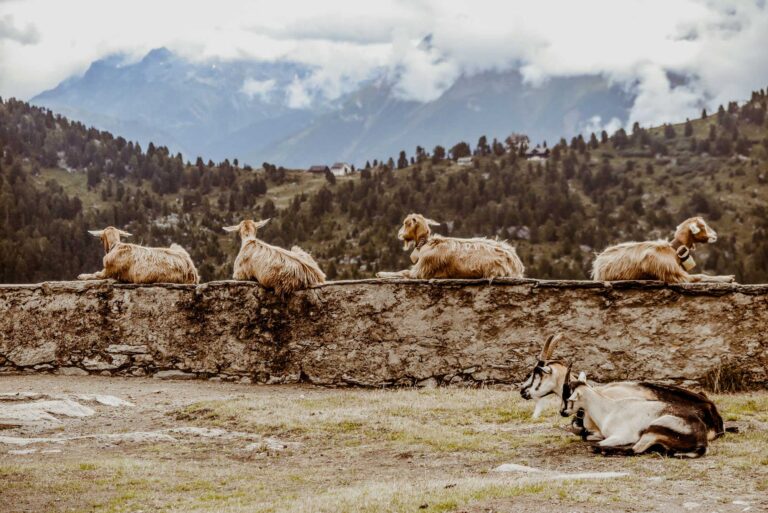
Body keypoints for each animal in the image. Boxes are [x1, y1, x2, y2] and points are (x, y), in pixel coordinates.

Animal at [376, 211, 524, 278]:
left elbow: (404, 272)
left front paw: (381, 273)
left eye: (406, 223)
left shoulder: (421, 270)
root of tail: (516, 263)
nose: (399, 234)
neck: (427, 244)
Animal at [592, 214, 736, 282]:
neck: (673, 251)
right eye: (703, 226)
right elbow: (701, 276)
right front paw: (728, 278)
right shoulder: (677, 275)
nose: (715, 236)